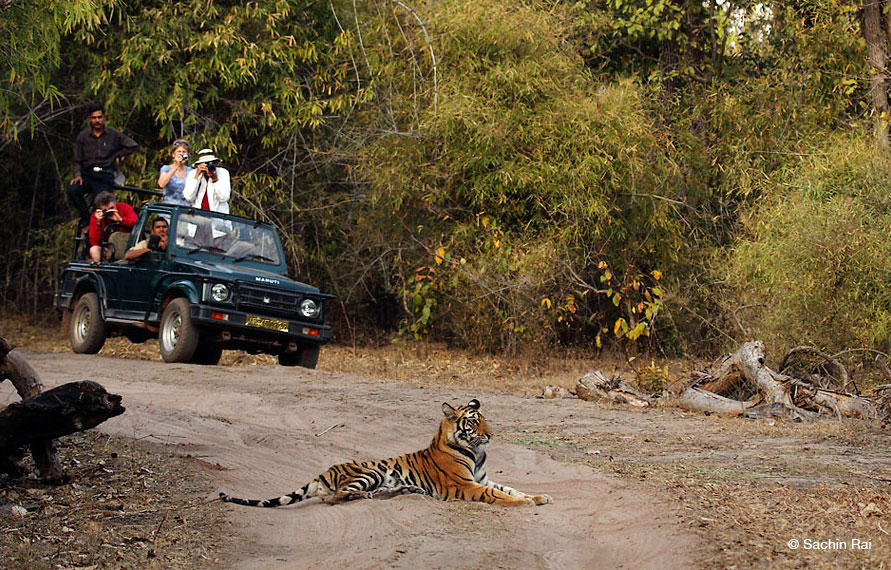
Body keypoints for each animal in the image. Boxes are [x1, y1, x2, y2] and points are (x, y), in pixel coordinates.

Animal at [218, 400, 552, 506]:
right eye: (473, 422)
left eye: (485, 419)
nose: (491, 435)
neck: (476, 452)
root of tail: (323, 472)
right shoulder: (466, 485)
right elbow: (499, 495)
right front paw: (524, 504)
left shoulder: (482, 479)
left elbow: (512, 488)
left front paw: (539, 497)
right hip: (370, 471)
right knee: (333, 497)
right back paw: (368, 495)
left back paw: (399, 492)